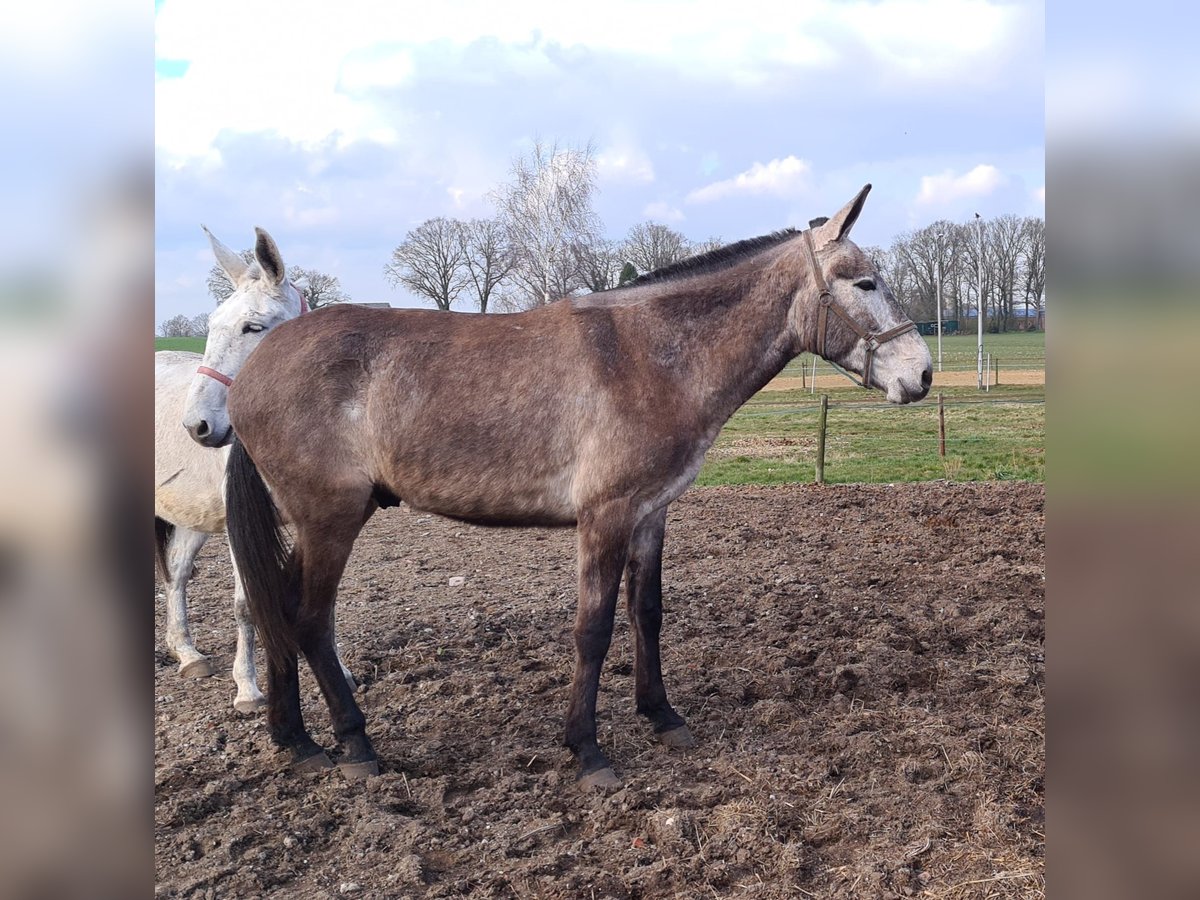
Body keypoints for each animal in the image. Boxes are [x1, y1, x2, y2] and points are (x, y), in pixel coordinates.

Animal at [154, 229, 350, 715]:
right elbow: (245, 605)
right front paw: (247, 687)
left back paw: (187, 654)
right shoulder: (241, 525)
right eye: (210, 326)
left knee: (177, 574)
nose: (197, 426)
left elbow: (325, 598)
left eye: (253, 327)